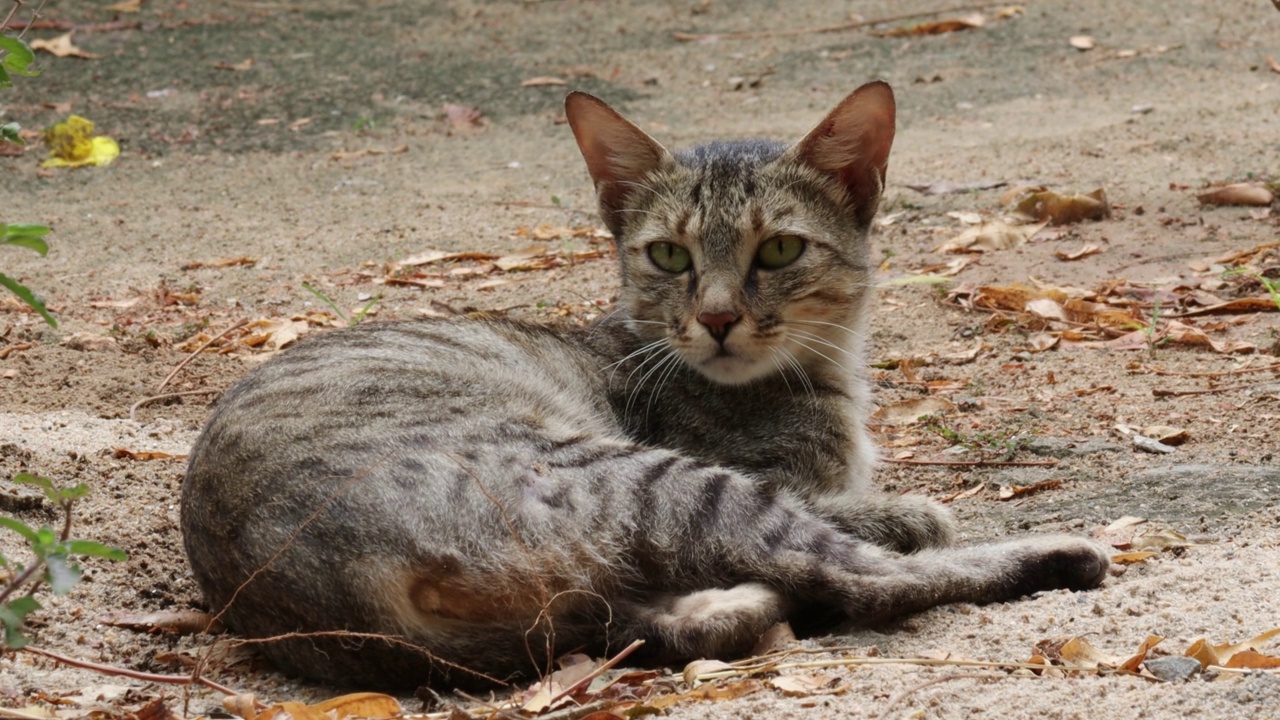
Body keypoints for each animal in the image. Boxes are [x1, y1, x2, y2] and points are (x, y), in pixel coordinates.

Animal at [180, 82, 1111, 691]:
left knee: (642, 625)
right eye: (668, 255)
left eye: (780, 250)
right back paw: (1057, 555)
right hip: (644, 477)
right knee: (852, 577)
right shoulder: (780, 477)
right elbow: (873, 512)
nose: (718, 316)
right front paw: (910, 510)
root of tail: (320, 599)